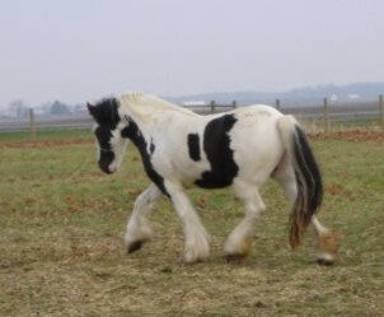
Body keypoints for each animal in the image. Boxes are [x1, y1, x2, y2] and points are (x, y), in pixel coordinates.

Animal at [88, 93, 340, 264]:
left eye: (98, 131)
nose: (104, 166)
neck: (156, 129)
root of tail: (279, 120)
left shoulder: (170, 184)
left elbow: (185, 214)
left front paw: (193, 253)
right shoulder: (162, 182)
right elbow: (140, 202)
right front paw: (133, 241)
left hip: (245, 184)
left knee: (256, 209)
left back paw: (234, 249)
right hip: (285, 177)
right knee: (304, 205)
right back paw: (325, 252)